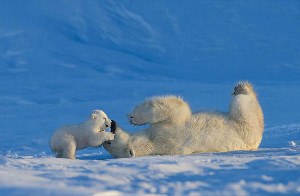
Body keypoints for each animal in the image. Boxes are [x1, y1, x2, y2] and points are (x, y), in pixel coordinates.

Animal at [104, 81, 264, 158]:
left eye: (108, 143)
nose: (112, 124)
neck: (152, 144)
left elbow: (174, 110)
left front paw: (134, 118)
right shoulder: (168, 133)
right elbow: (175, 110)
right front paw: (134, 117)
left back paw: (241, 88)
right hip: (245, 127)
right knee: (245, 108)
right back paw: (242, 89)